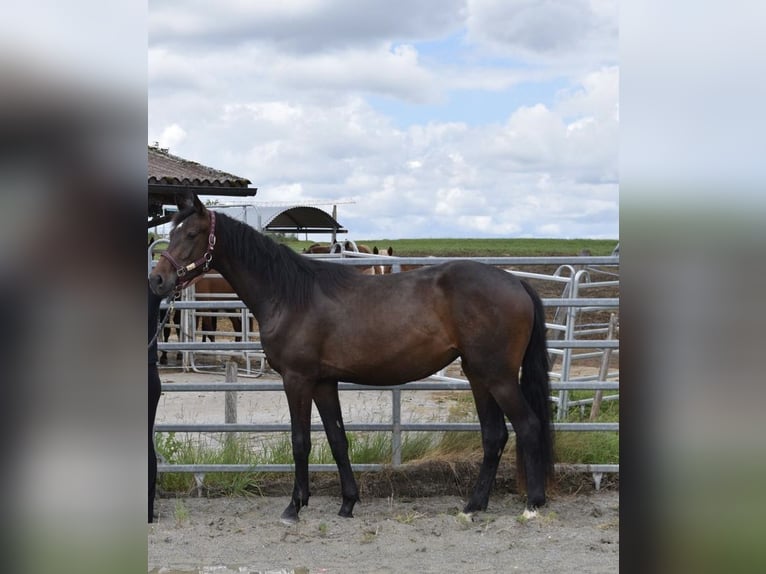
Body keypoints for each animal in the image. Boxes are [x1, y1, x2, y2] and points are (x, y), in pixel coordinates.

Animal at [149, 193, 554, 523]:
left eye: (191, 234)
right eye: (171, 233)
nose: (158, 280)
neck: (290, 294)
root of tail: (515, 282)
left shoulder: (297, 379)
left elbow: (301, 440)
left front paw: (294, 506)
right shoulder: (324, 382)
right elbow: (337, 439)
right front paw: (347, 503)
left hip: (498, 376)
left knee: (528, 426)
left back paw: (532, 505)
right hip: (477, 374)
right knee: (495, 435)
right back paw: (474, 506)